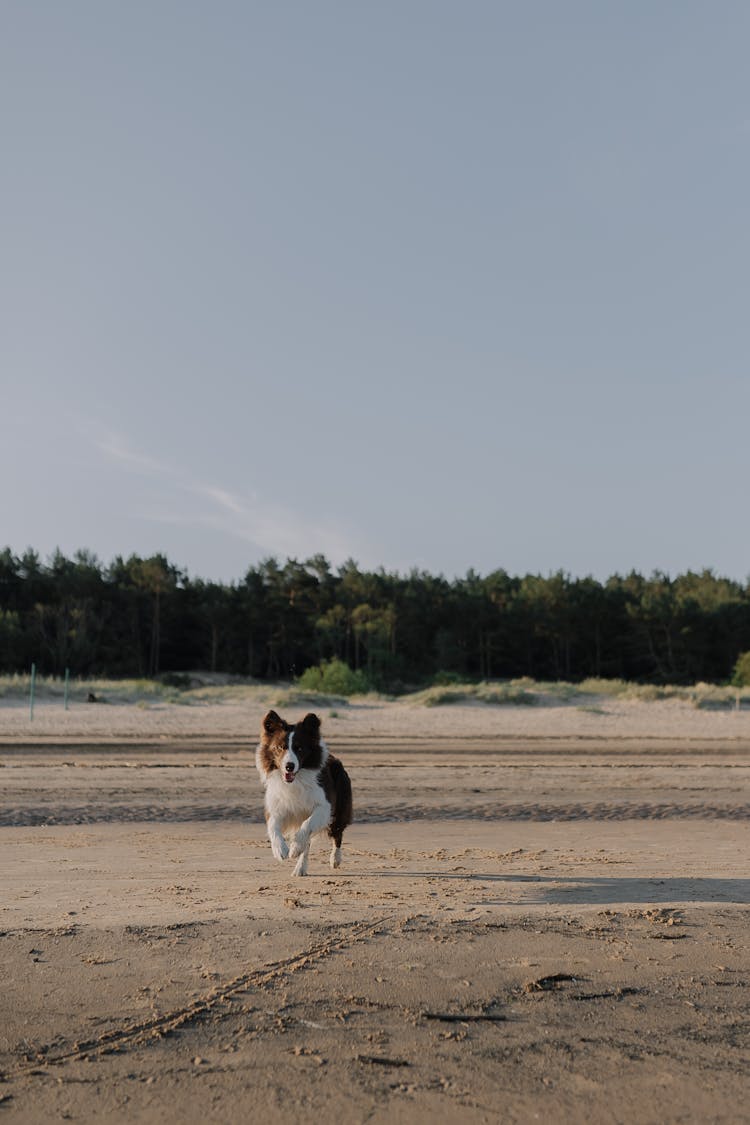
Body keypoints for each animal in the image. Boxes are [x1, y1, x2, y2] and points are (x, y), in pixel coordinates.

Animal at [256, 711, 353, 877]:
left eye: (299, 748)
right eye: (280, 747)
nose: (289, 766)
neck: (296, 780)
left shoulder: (324, 805)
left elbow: (307, 825)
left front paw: (294, 848)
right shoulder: (277, 805)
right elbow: (273, 825)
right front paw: (280, 850)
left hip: (341, 804)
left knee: (337, 833)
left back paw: (335, 859)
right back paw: (300, 869)